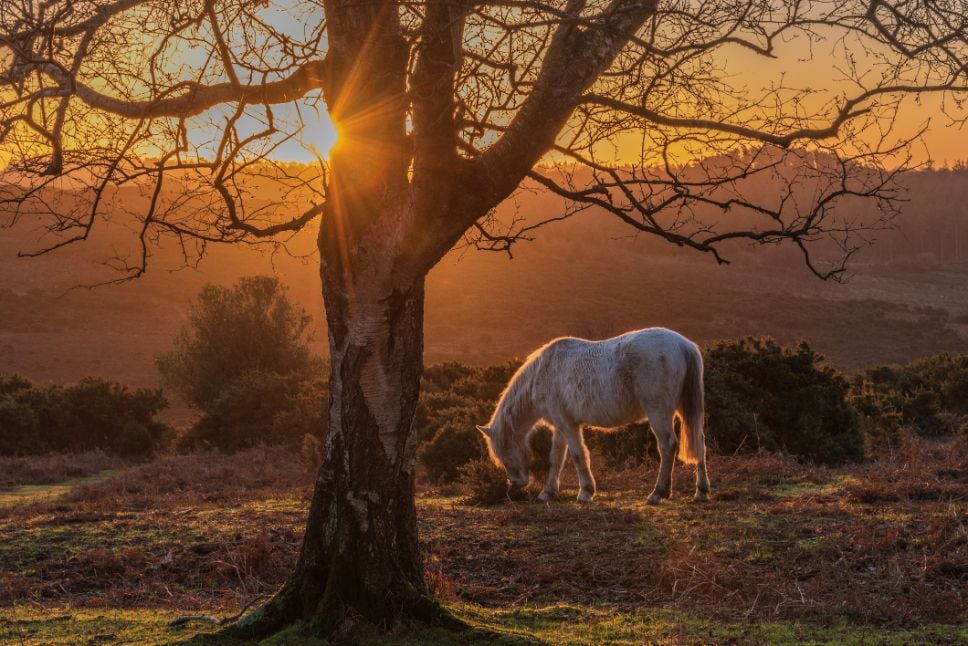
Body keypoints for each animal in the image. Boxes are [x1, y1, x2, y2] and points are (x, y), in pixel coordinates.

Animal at [478, 330, 712, 506]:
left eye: (503, 450)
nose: (515, 484)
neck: (543, 372)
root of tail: (683, 345)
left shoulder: (569, 425)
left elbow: (578, 455)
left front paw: (586, 492)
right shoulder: (560, 426)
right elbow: (556, 459)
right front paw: (547, 493)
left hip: (658, 412)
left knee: (667, 446)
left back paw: (657, 493)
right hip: (685, 410)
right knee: (699, 443)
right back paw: (701, 492)